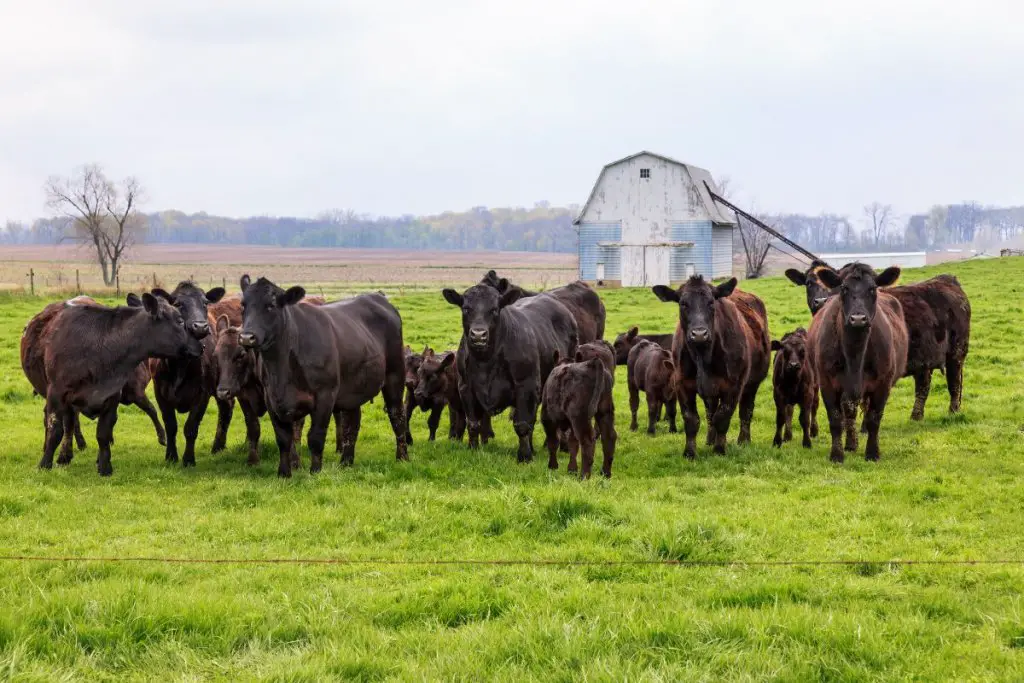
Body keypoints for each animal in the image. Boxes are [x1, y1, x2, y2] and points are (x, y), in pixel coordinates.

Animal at [540, 352, 610, 481]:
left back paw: (584, 475)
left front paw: (552, 466)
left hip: (580, 416)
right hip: (604, 410)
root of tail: (592, 363)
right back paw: (606, 473)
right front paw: (571, 469)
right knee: (608, 437)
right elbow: (573, 444)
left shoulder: (547, 418)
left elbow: (553, 442)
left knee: (587, 439)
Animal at [655, 276, 770, 458]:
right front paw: (690, 452)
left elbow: (722, 417)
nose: (699, 334)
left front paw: (719, 449)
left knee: (746, 410)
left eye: (711, 302)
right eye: (683, 303)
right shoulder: (682, 384)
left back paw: (743, 440)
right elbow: (692, 419)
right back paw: (710, 439)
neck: (703, 355)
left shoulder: (734, 386)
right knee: (710, 412)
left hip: (753, 383)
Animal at [811, 264, 909, 462]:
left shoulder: (883, 384)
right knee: (849, 414)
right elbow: (836, 420)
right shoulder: (827, 383)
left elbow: (874, 419)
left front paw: (872, 453)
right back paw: (850, 444)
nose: (858, 319)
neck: (854, 356)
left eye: (872, 289)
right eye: (844, 288)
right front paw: (837, 455)